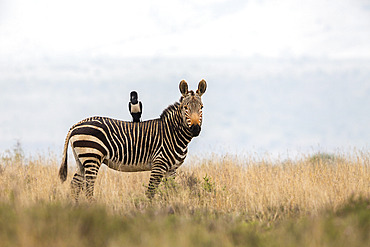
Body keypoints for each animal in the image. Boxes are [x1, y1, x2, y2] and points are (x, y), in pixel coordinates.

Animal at [59, 79, 207, 201]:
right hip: (92, 157)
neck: (172, 133)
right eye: (185, 108)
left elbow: (171, 192)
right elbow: (150, 192)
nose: (195, 129)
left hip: (81, 160)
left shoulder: (172, 169)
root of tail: (75, 125)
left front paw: (171, 206)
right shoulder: (158, 165)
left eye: (201, 107)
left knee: (75, 185)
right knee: (88, 188)